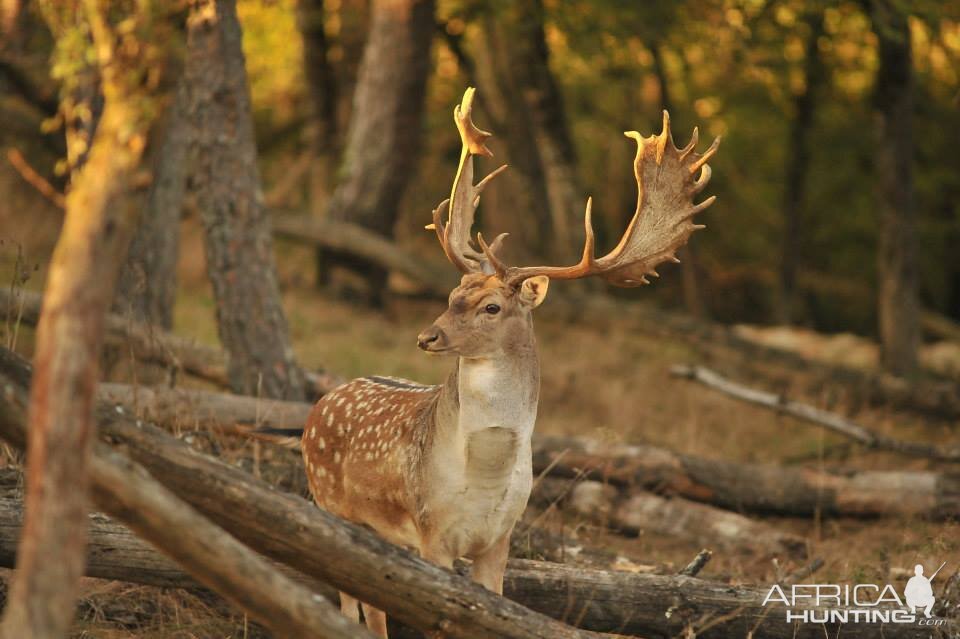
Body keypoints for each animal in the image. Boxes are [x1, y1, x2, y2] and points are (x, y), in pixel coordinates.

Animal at [296, 87, 716, 636]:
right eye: (452, 295)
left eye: (491, 307)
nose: (427, 336)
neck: (487, 474)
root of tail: (319, 406)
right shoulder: (431, 528)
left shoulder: (500, 537)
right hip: (331, 502)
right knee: (354, 600)